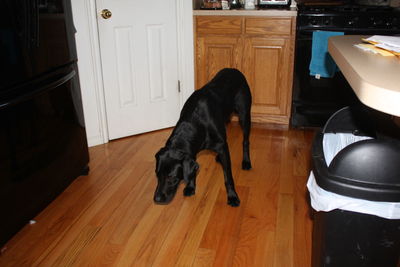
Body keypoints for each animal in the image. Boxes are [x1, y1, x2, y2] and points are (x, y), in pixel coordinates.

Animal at [155, 68, 252, 207]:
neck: (195, 121)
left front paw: (232, 196)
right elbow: (192, 172)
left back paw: (246, 162)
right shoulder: (192, 151)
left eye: (171, 177)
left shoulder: (221, 145)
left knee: (245, 141)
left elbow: (228, 177)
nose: (156, 199)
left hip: (244, 115)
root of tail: (235, 70)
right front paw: (190, 187)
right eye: (157, 175)